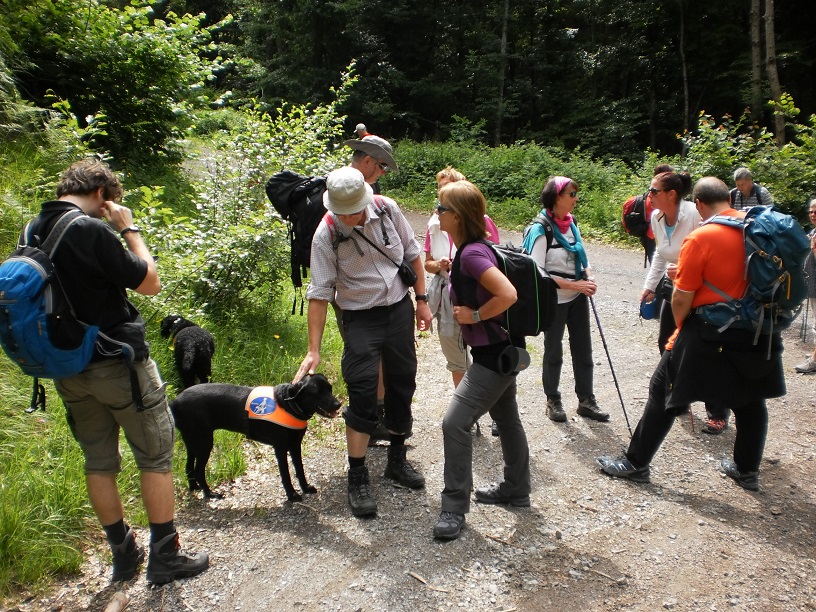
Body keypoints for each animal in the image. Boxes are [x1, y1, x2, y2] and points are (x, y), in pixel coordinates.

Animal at [170, 372, 342, 502]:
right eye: (317, 393)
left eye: (330, 388)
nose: (338, 404)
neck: (288, 405)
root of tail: (174, 402)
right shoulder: (280, 448)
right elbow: (286, 474)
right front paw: (292, 494)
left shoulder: (295, 445)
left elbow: (300, 469)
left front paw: (305, 488)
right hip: (204, 443)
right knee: (198, 471)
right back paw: (209, 493)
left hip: (192, 442)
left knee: (189, 468)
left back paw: (194, 488)